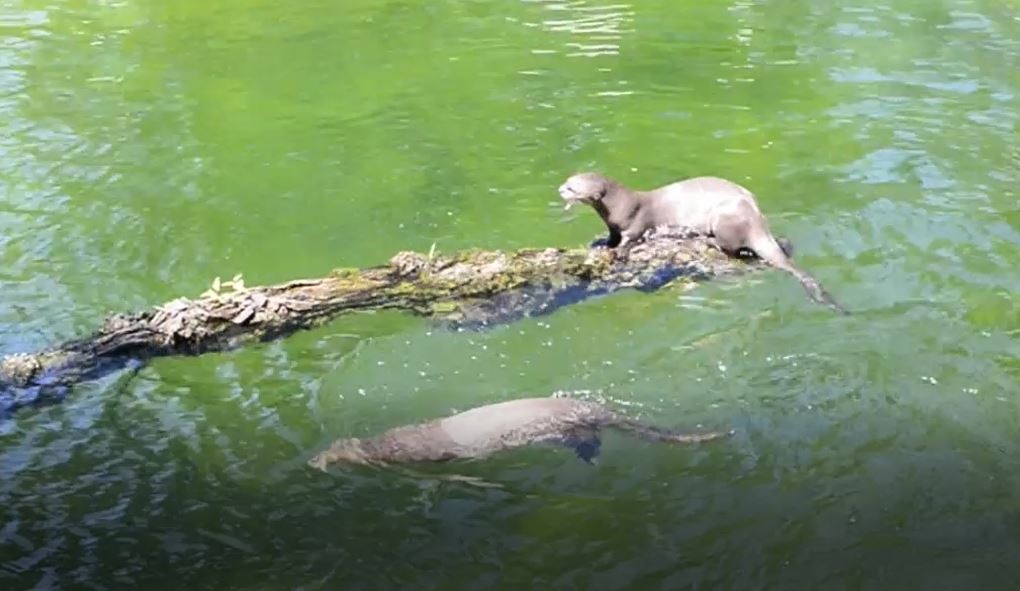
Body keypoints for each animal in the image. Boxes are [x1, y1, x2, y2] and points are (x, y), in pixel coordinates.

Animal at [558, 171, 844, 314]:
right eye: (567, 180)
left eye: (572, 187)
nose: (559, 188)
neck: (621, 206)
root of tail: (756, 219)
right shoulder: (614, 227)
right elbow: (611, 237)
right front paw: (603, 245)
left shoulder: (635, 224)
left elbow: (629, 240)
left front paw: (616, 251)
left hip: (722, 219)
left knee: (733, 248)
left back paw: (711, 241)